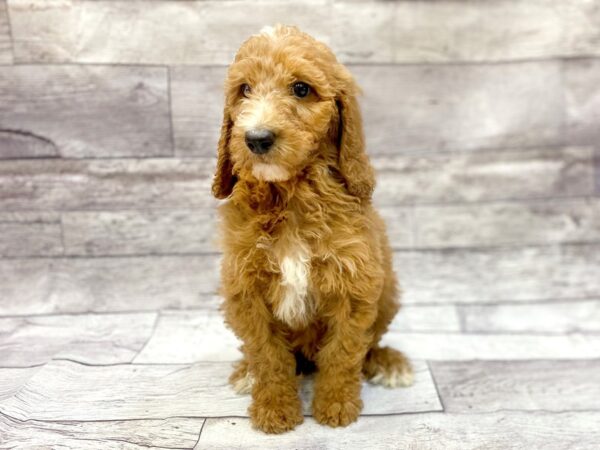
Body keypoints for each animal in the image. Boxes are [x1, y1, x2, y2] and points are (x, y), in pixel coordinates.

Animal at [211, 23, 412, 432]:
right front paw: (274, 409)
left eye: (301, 89)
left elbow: (343, 352)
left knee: (370, 345)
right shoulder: (244, 289)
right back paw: (246, 373)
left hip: (388, 295)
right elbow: (267, 354)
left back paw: (387, 363)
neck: (290, 196)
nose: (256, 139)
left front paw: (336, 406)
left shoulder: (355, 284)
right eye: (244, 90)